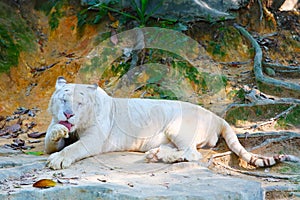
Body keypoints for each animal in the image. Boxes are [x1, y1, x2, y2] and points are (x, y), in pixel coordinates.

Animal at [45, 76, 298, 169]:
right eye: (64, 99)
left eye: (80, 103)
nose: (68, 114)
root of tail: (216, 117)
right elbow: (49, 137)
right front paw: (57, 130)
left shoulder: (95, 138)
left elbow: (76, 148)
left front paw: (57, 160)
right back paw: (156, 155)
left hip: (177, 127)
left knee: (192, 154)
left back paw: (163, 157)